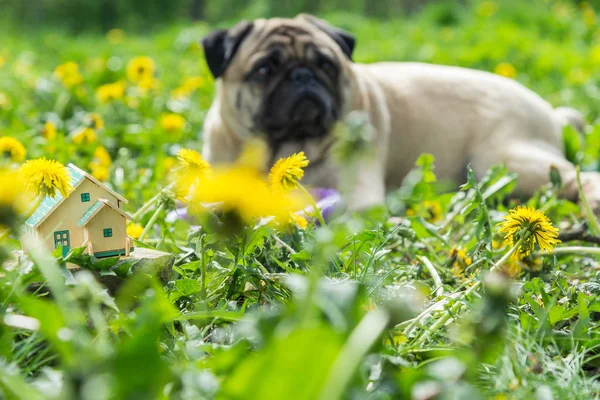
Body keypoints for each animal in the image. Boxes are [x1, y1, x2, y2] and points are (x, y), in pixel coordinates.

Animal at [199, 13, 596, 209]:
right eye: (264, 70)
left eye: (326, 65)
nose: (302, 75)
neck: (281, 149)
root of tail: (551, 112)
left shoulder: (356, 194)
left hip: (505, 160)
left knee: (577, 176)